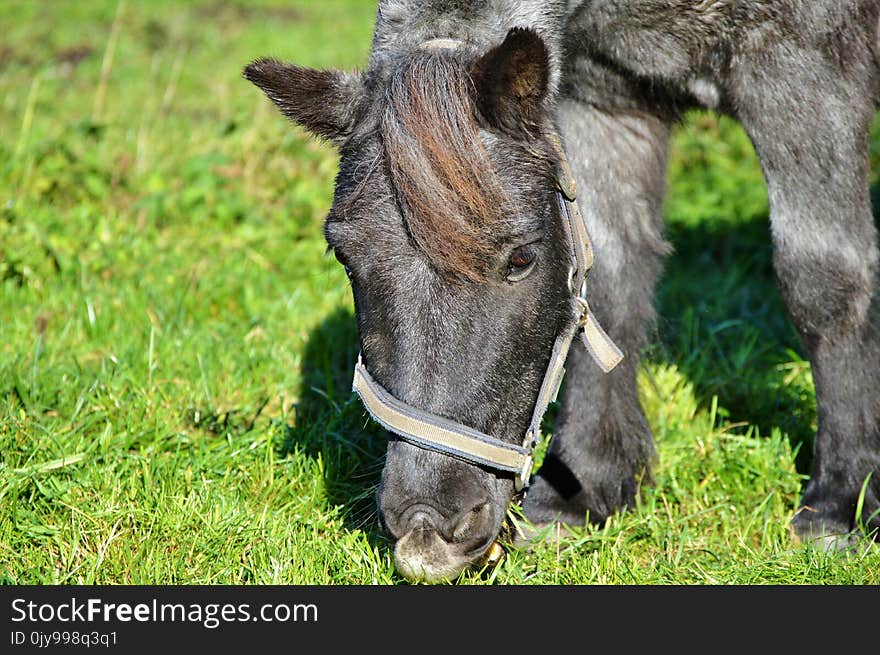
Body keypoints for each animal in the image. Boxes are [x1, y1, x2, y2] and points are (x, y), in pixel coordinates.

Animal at [244, 0, 880, 584]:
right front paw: (584, 484)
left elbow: (823, 281)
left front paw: (841, 503)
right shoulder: (606, 101)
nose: (428, 530)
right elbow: (610, 278)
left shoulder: (804, 72)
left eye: (521, 258)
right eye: (342, 254)